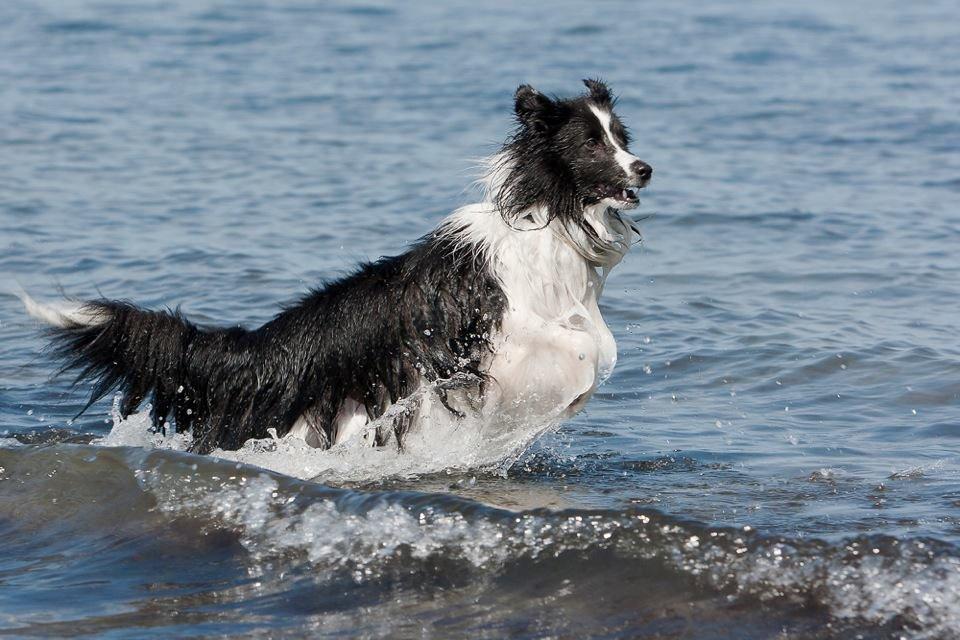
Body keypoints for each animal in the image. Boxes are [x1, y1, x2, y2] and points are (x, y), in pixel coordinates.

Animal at [22, 80, 652, 458]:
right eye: (592, 144)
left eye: (621, 138)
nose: (644, 168)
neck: (551, 215)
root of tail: (254, 352)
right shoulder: (499, 332)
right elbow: (582, 351)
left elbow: (600, 342)